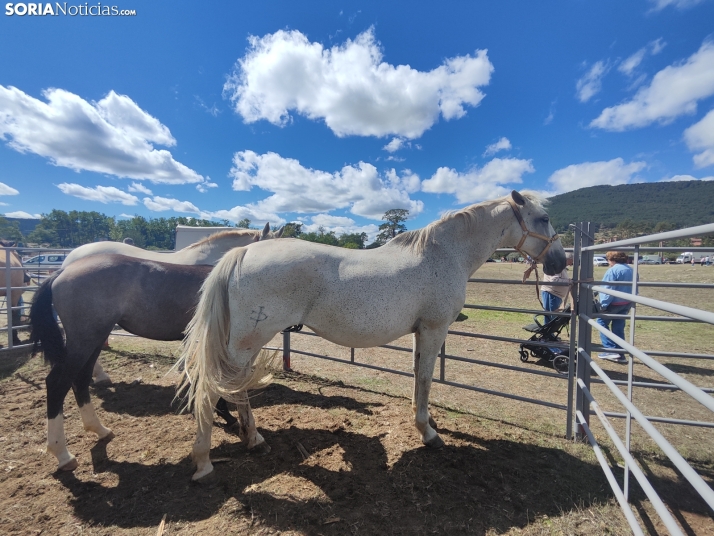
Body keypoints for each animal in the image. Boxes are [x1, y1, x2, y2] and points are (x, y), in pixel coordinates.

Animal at [177, 191, 560, 480]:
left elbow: (418, 376)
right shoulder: (434, 329)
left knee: (237, 387)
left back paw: (254, 439)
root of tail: (244, 251)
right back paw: (204, 462)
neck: (444, 254)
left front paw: (427, 421)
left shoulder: (420, 332)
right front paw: (429, 433)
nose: (561, 261)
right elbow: (425, 379)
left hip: (249, 343)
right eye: (543, 218)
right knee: (212, 389)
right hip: (247, 341)